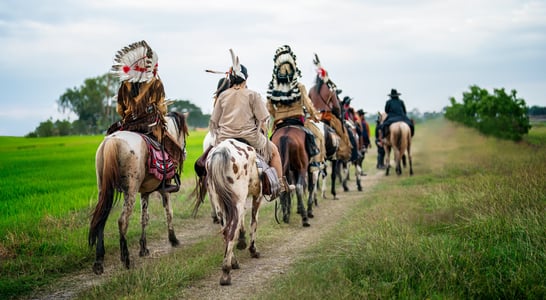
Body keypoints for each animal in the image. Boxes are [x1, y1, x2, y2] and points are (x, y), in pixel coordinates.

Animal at [88, 112, 188, 274]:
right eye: (184, 134)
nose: (184, 152)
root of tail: (112, 141)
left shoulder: (145, 192)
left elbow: (144, 218)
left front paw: (143, 248)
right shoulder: (164, 189)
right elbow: (169, 212)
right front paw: (173, 240)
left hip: (103, 188)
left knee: (101, 220)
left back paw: (99, 261)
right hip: (130, 190)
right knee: (122, 221)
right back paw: (126, 259)